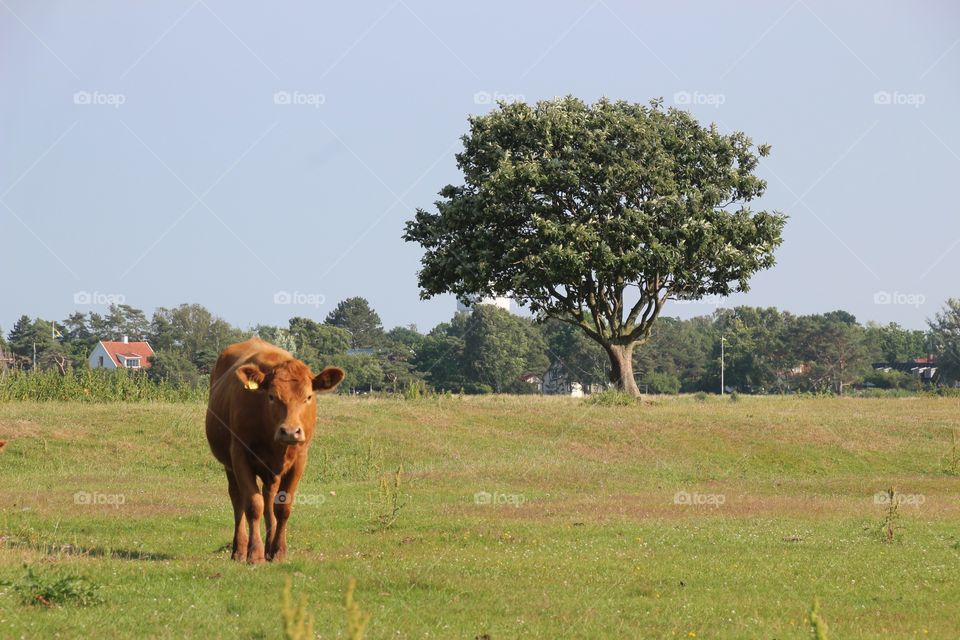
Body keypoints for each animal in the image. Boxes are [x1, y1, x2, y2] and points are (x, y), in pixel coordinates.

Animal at [204, 338, 346, 564]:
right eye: (271, 396)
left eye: (308, 397)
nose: (290, 431)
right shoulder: (239, 455)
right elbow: (253, 505)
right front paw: (255, 554)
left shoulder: (300, 459)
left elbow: (282, 507)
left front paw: (279, 551)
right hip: (228, 464)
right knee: (237, 499)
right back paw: (240, 549)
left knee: (269, 498)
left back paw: (270, 546)